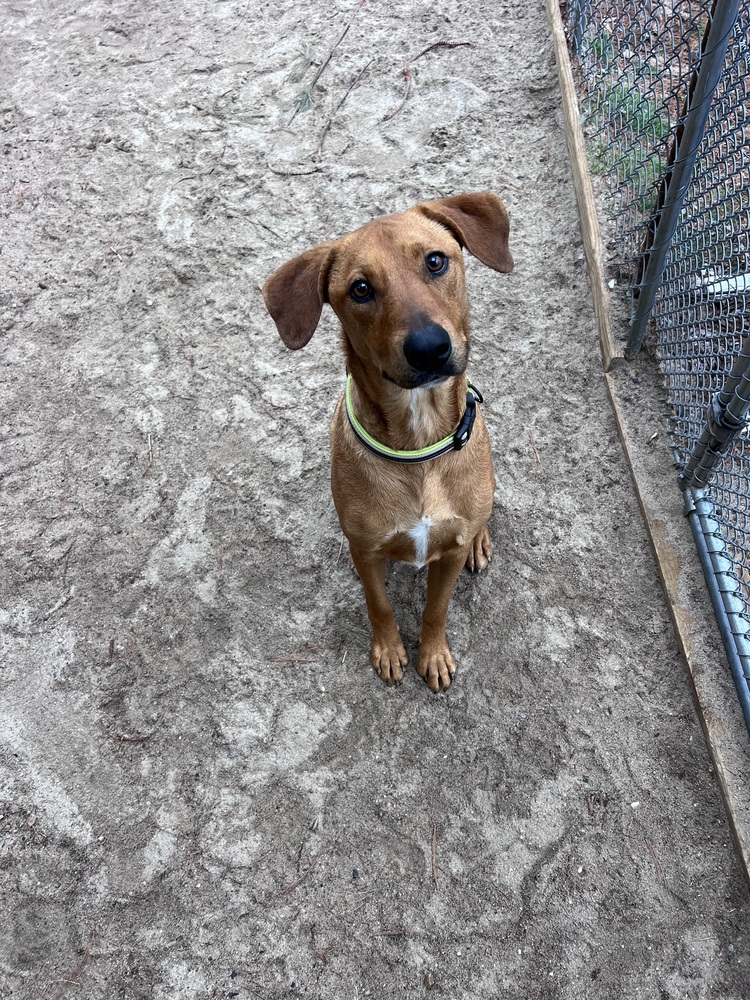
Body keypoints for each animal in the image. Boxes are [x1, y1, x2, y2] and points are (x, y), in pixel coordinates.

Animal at [262, 192, 516, 692]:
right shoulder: (367, 551)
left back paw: (480, 540)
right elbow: (378, 604)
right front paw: (390, 650)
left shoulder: (447, 555)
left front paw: (432, 655)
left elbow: (436, 608)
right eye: (360, 289)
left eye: (436, 261)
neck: (418, 446)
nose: (429, 347)